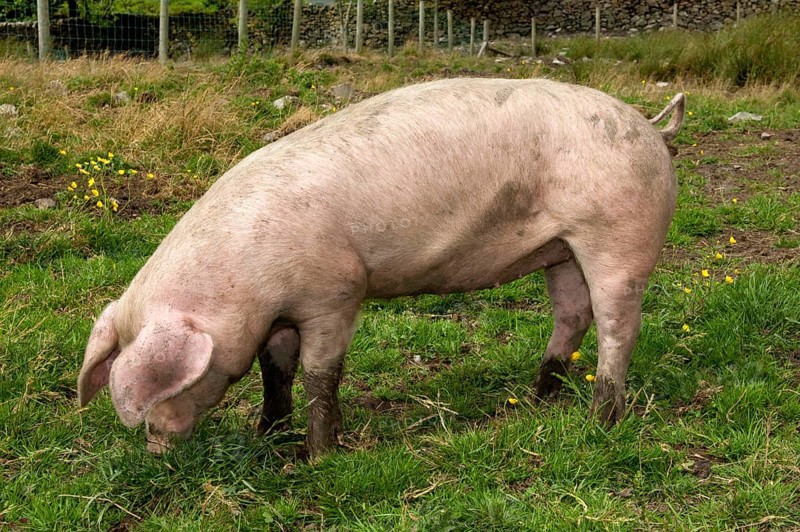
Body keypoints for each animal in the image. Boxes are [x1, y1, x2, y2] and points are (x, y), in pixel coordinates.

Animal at [77, 78, 685, 458]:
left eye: (166, 390)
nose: (156, 450)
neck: (246, 285)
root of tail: (653, 127)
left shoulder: (335, 293)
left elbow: (320, 373)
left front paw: (318, 455)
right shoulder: (283, 313)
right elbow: (275, 369)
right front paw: (268, 435)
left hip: (618, 234)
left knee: (618, 325)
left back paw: (600, 421)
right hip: (562, 248)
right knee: (573, 315)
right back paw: (537, 401)